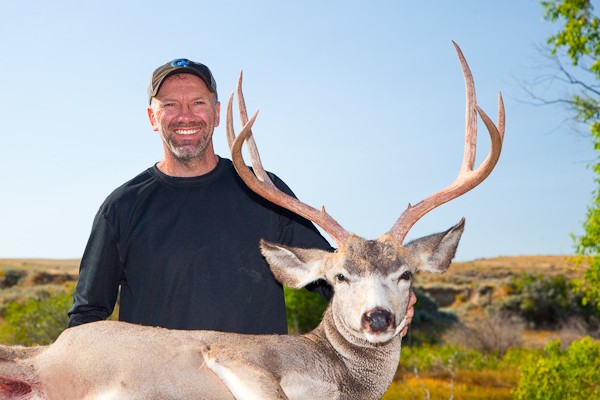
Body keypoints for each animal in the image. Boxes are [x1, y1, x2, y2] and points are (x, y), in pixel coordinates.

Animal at [1, 42, 502, 398]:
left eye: (405, 275)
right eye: (340, 276)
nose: (377, 318)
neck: (335, 379)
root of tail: (44, 359)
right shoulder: (238, 355)